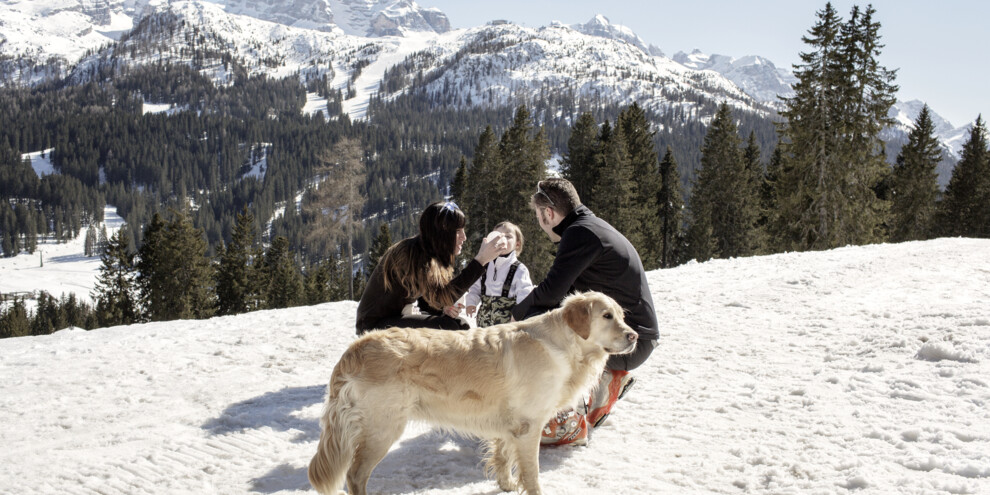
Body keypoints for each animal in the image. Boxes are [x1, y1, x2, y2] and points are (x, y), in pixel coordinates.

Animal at [306, 292, 640, 494]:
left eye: (622, 315)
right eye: (606, 316)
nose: (634, 336)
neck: (563, 345)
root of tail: (356, 347)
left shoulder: (509, 426)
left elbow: (503, 457)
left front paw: (506, 484)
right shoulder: (529, 427)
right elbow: (532, 474)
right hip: (383, 428)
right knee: (354, 475)